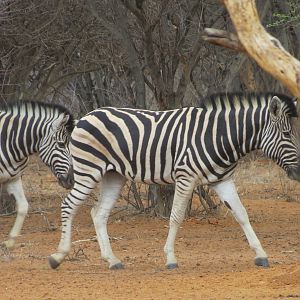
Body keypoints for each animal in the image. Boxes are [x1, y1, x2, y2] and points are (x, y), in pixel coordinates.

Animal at [0, 100, 75, 248]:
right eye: (61, 144)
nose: (72, 180)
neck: (8, 140)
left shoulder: (13, 178)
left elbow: (23, 206)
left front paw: (10, 241)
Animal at [48, 92, 300, 270]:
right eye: (288, 134)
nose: (298, 172)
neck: (219, 136)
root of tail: (85, 116)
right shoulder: (185, 176)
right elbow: (176, 216)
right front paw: (170, 258)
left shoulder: (222, 180)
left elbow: (241, 213)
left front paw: (261, 254)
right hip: (88, 170)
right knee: (68, 205)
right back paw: (58, 256)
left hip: (113, 176)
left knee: (98, 213)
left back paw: (113, 260)